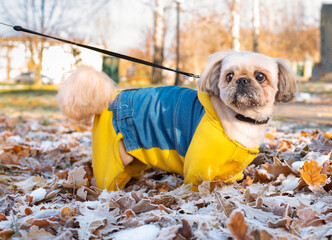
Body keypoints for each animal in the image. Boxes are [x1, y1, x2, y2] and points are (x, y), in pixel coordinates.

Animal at [56, 50, 296, 191]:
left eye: (260, 77)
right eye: (229, 76)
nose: (242, 80)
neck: (240, 118)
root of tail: (110, 97)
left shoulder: (233, 169)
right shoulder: (198, 166)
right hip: (110, 158)